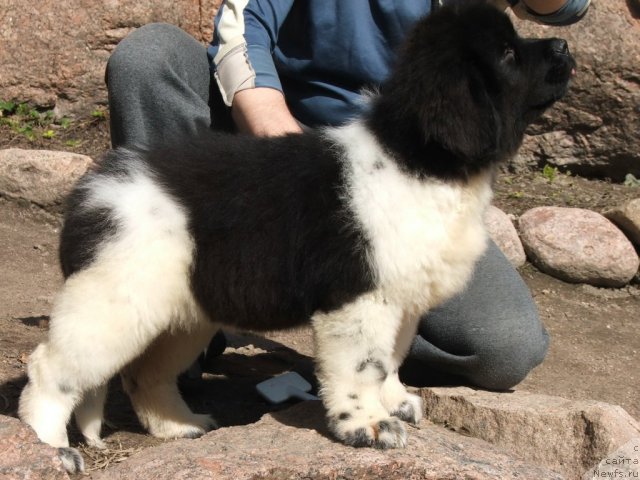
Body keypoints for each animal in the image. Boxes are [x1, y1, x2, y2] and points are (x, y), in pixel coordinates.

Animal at [17, 0, 576, 472]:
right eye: (507, 54)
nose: (564, 47)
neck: (418, 157)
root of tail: (89, 195)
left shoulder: (402, 296)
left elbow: (392, 359)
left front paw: (395, 402)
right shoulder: (358, 297)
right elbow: (362, 367)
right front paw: (368, 426)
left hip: (183, 308)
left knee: (144, 373)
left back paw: (181, 426)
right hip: (112, 302)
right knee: (49, 369)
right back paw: (48, 450)